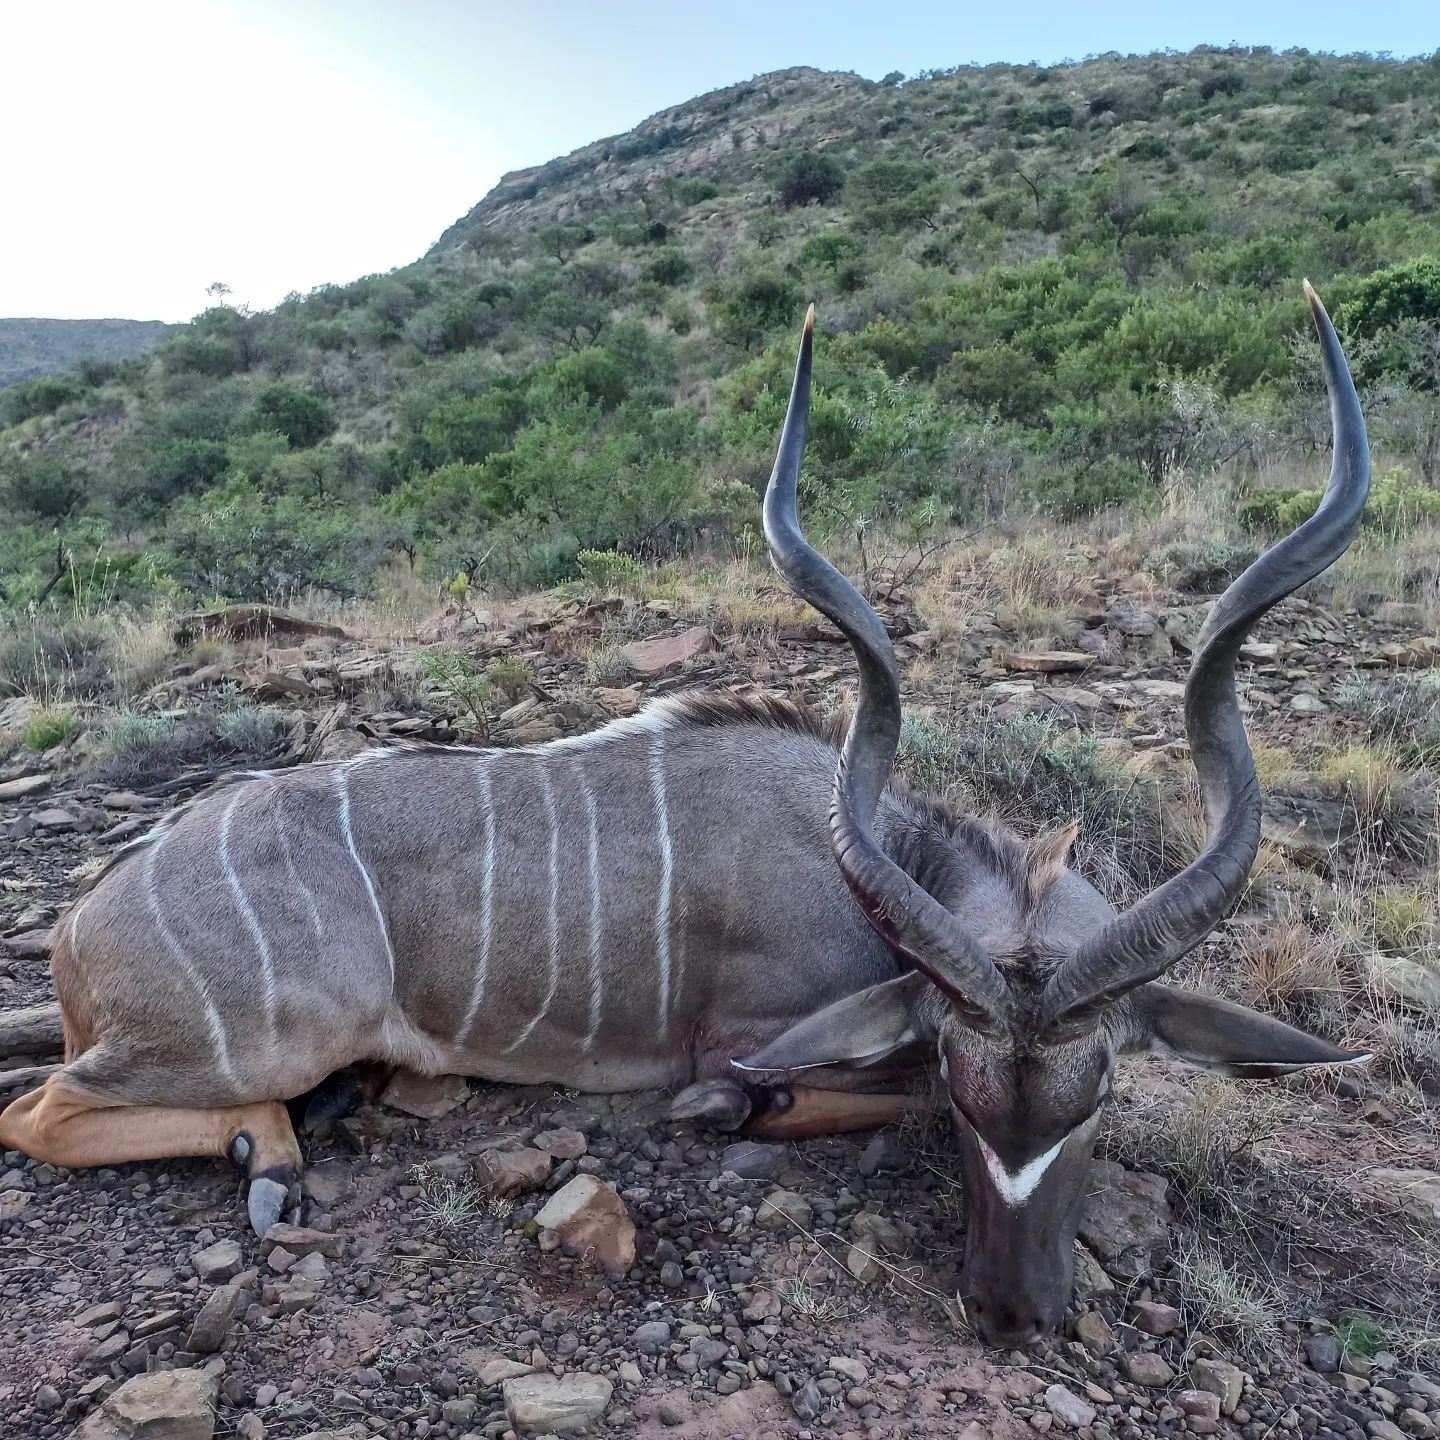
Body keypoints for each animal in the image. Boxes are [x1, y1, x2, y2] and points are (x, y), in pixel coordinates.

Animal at [0, 284, 1369, 1347]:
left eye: (1098, 1097)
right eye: (969, 1088)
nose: (1014, 1315)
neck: (878, 869)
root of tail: (78, 928)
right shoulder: (754, 1041)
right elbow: (791, 1092)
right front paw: (741, 1112)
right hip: (266, 1037)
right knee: (45, 1109)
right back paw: (270, 1156)